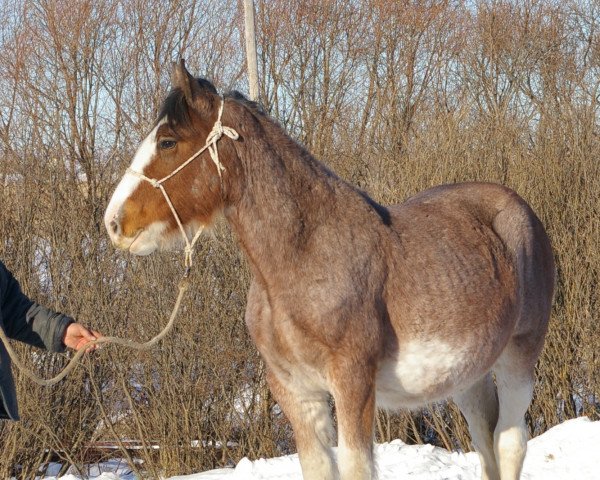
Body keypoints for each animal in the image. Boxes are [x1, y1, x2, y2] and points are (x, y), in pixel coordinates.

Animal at [102, 61, 552, 480]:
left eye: (168, 141)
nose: (113, 222)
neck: (304, 259)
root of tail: (518, 208)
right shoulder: (295, 390)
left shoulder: (353, 383)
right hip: (469, 373)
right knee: (485, 440)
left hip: (518, 356)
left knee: (509, 441)